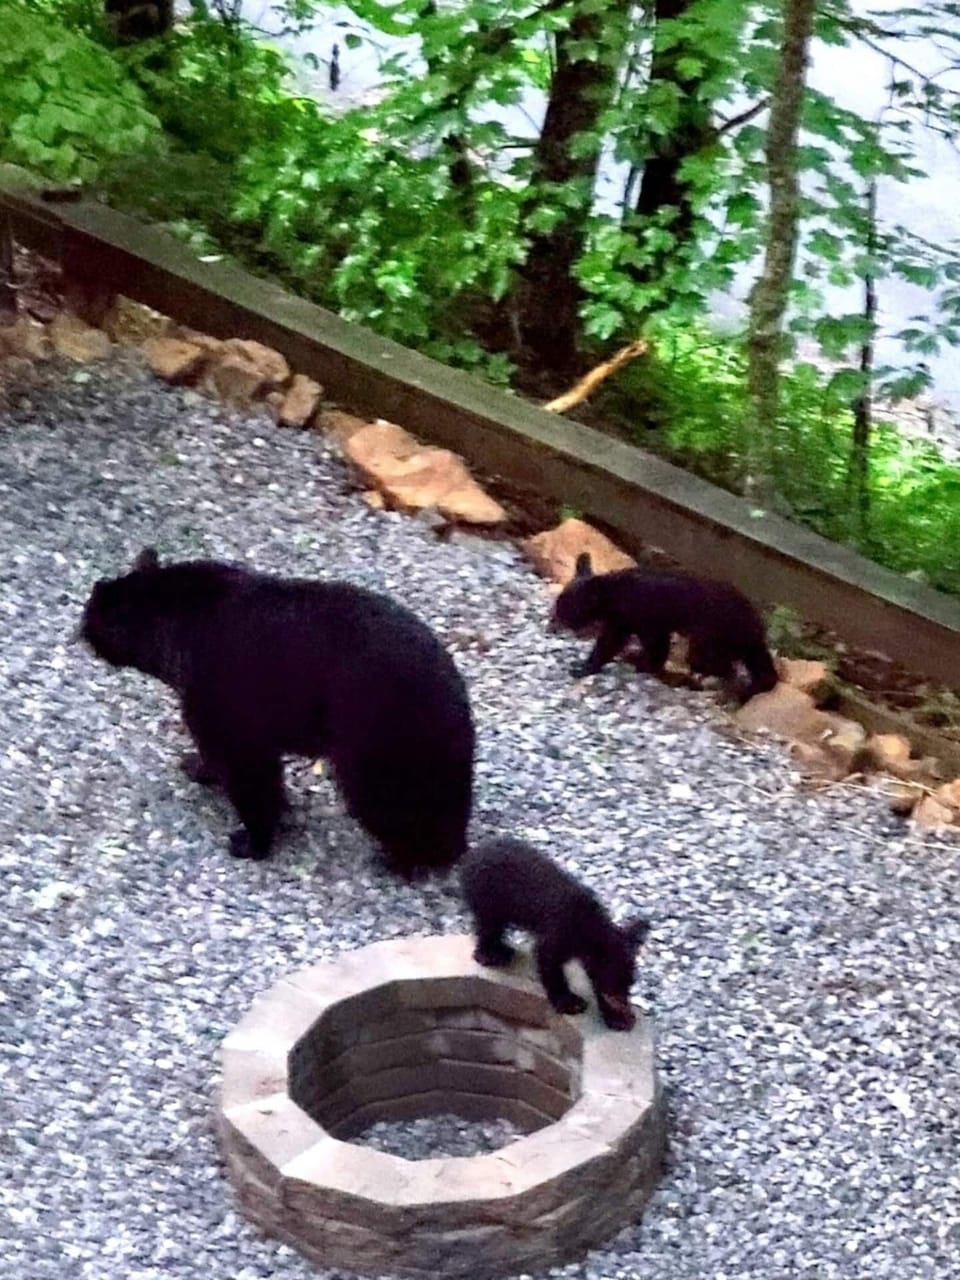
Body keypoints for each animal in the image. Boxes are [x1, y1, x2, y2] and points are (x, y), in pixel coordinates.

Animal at [79, 547, 475, 877]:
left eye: (95, 615)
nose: (81, 628)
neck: (180, 624)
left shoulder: (225, 707)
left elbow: (251, 776)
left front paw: (253, 841)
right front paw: (200, 767)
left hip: (377, 742)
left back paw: (404, 860)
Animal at [460, 836, 649, 1031]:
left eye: (630, 982)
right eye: (613, 981)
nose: (621, 1003)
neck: (588, 925)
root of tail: (472, 853)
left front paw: (617, 1017)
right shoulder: (558, 932)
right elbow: (549, 963)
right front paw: (569, 1002)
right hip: (487, 896)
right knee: (488, 924)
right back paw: (490, 954)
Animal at [550, 552, 778, 704]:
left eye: (566, 607)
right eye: (559, 603)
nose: (551, 622)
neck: (615, 595)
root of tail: (756, 622)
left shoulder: (641, 614)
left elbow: (614, 642)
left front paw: (583, 668)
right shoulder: (632, 620)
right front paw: (640, 661)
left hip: (714, 633)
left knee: (718, 663)